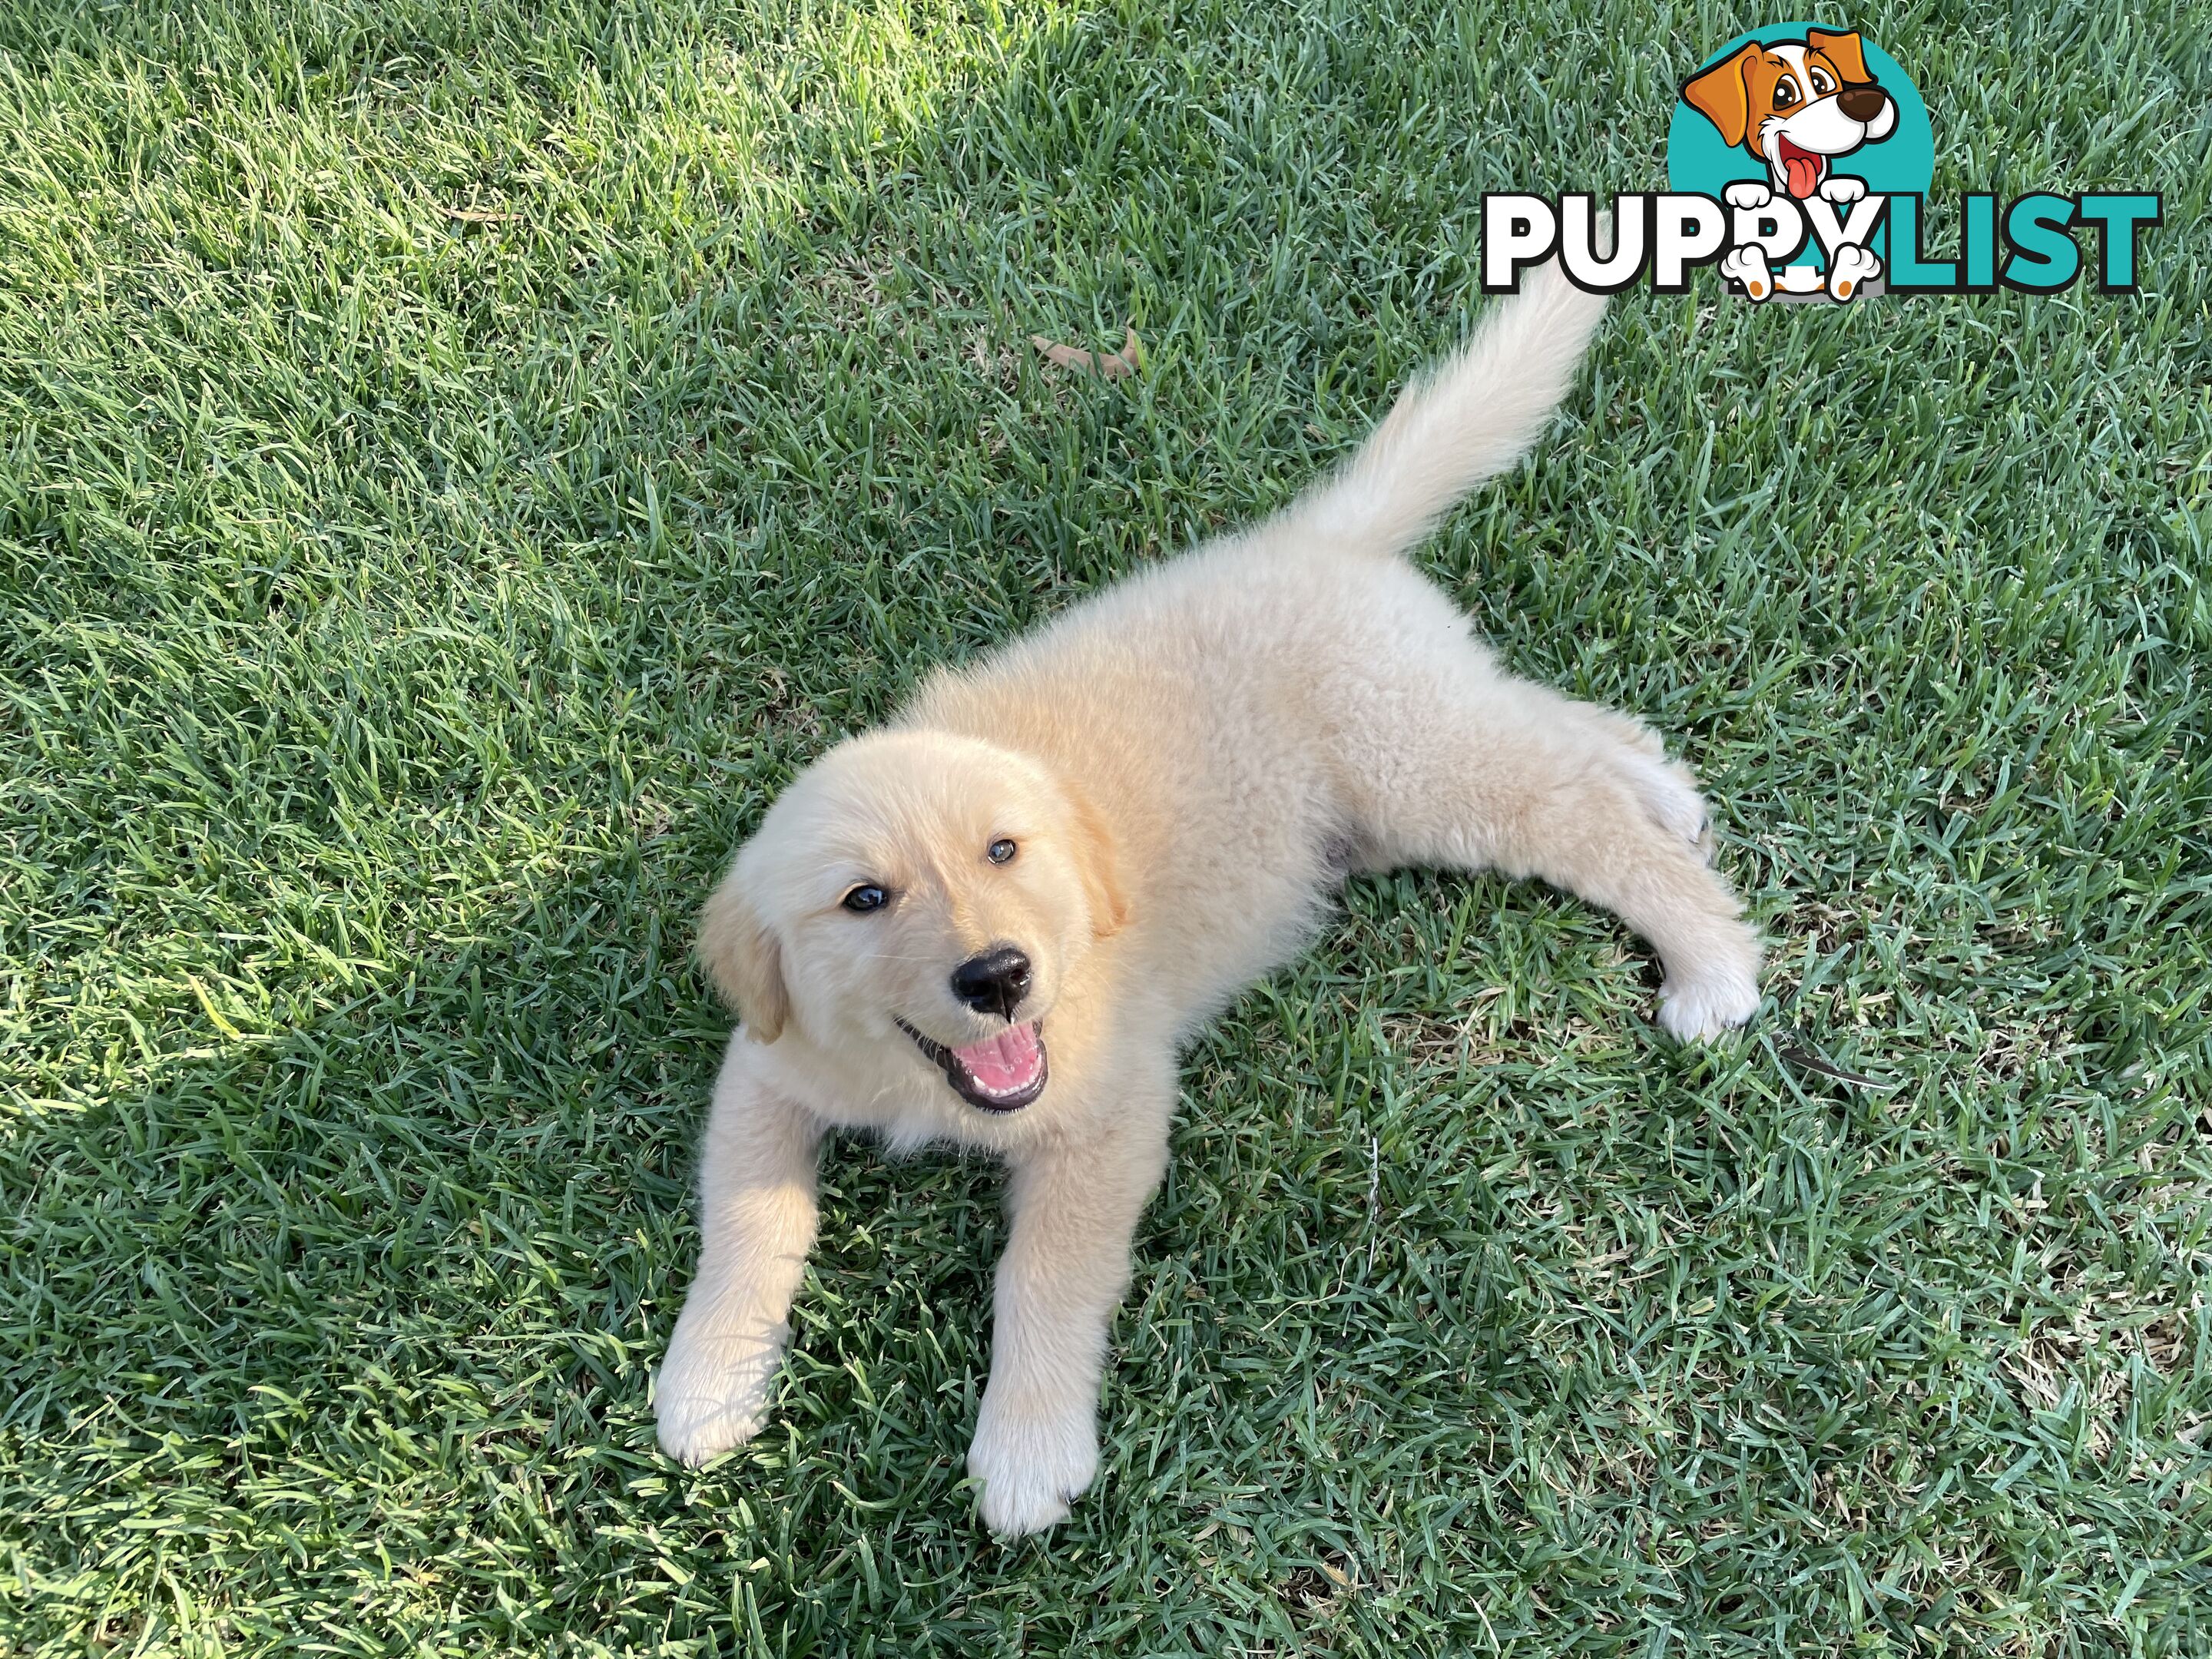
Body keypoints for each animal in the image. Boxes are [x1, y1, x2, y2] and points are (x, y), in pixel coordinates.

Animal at [654, 267, 1760, 1539]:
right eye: (864, 898)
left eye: (1002, 850)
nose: (1000, 976)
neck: (922, 1082)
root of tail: (1313, 538)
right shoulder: (766, 1067)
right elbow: (747, 1220)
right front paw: (709, 1384)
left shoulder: (1110, 1112)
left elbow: (1045, 1270)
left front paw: (1027, 1448)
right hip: (1428, 745)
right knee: (1567, 742)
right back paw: (1662, 783)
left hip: (1419, 770)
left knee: (1584, 821)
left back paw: (1711, 961)